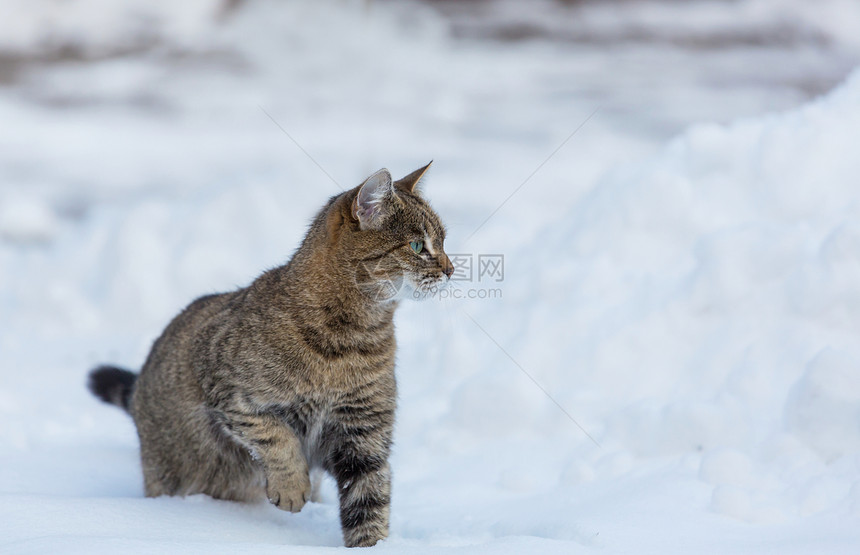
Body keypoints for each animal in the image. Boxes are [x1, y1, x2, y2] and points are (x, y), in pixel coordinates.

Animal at [88, 163, 454, 548]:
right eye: (418, 245)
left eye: (444, 241)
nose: (451, 269)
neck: (353, 339)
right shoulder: (230, 393)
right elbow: (276, 437)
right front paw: (292, 488)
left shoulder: (364, 432)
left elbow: (370, 500)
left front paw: (373, 547)